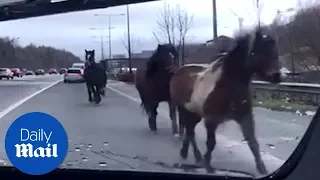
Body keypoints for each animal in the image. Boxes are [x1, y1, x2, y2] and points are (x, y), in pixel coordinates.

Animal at [169, 28, 282, 174]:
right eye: (260, 51)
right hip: (186, 111)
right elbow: (211, 143)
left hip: (194, 114)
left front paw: (262, 169)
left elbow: (253, 142)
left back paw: (187, 154)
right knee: (190, 132)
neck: (227, 85)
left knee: (189, 131)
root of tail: (178, 71)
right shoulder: (211, 120)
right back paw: (196, 156)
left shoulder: (245, 117)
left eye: (275, 50)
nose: (277, 76)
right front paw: (208, 165)